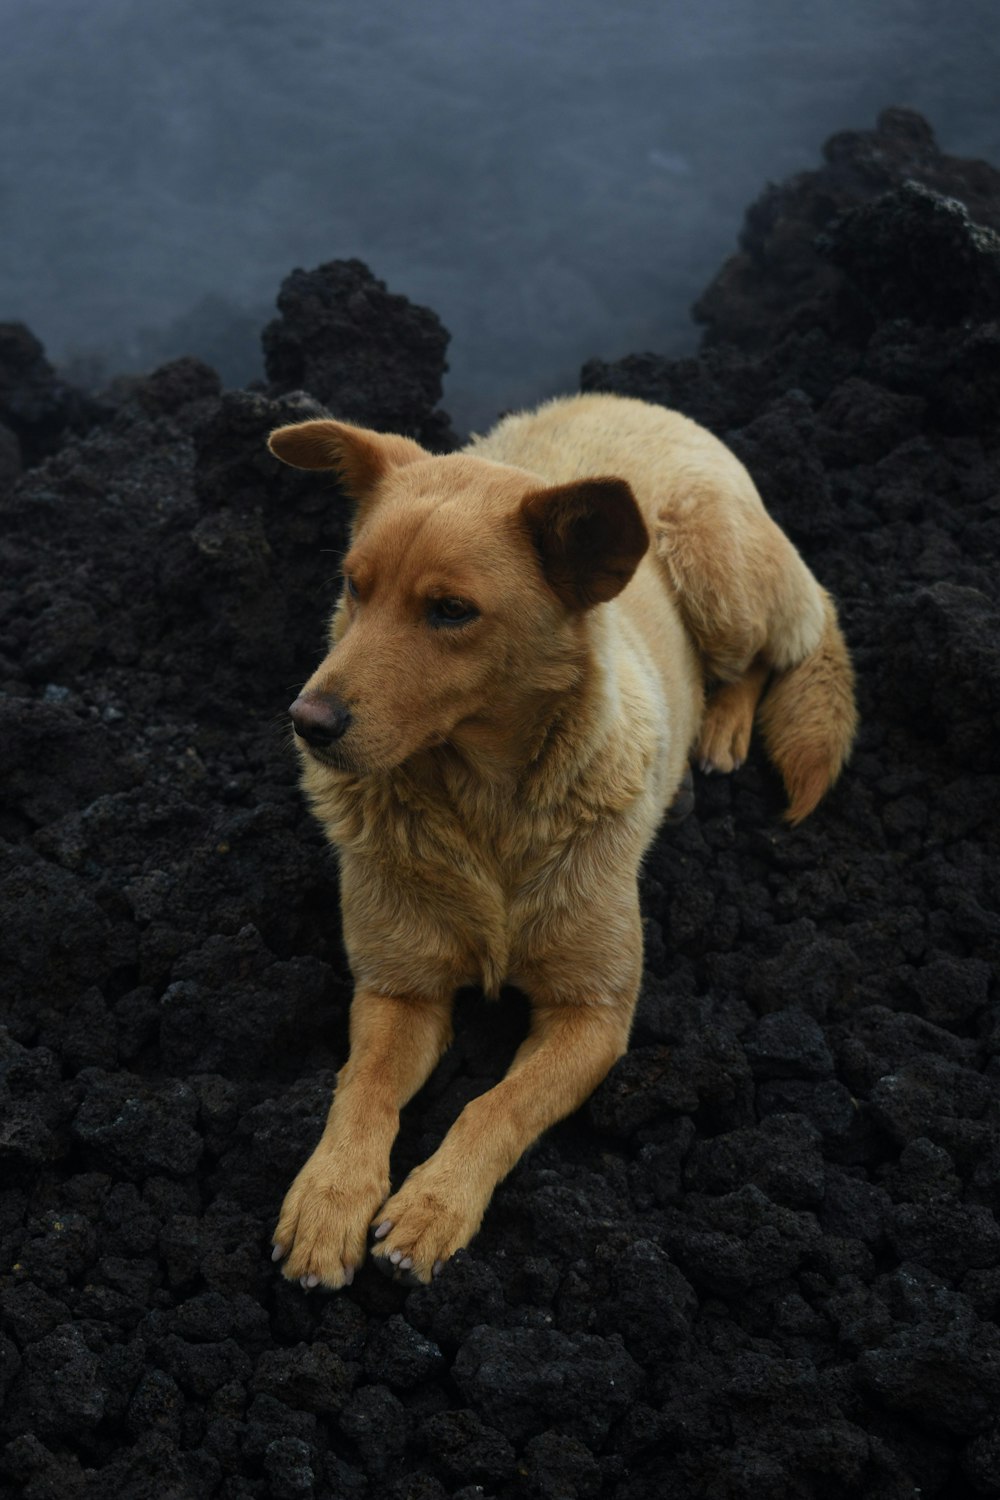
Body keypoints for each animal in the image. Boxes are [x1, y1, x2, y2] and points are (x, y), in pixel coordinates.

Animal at [265, 396, 863, 1290]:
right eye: (352, 587)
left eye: (451, 611)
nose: (308, 723)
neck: (485, 810)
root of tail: (639, 401)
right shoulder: (397, 991)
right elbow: (361, 1087)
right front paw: (329, 1197)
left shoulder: (595, 1015)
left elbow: (497, 1104)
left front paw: (435, 1203)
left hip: (724, 584)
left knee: (765, 657)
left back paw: (721, 730)